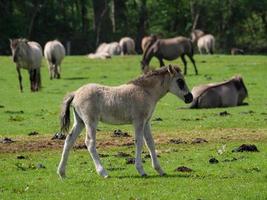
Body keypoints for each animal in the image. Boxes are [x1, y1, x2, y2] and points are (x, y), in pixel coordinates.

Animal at [57, 64, 194, 178]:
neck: (145, 91)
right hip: (90, 122)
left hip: (80, 122)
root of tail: (75, 93)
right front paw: (141, 170)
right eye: (180, 81)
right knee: (90, 143)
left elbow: (150, 143)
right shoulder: (138, 121)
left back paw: (62, 173)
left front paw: (160, 170)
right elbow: (139, 142)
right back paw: (103, 172)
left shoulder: (146, 122)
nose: (190, 97)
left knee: (69, 140)